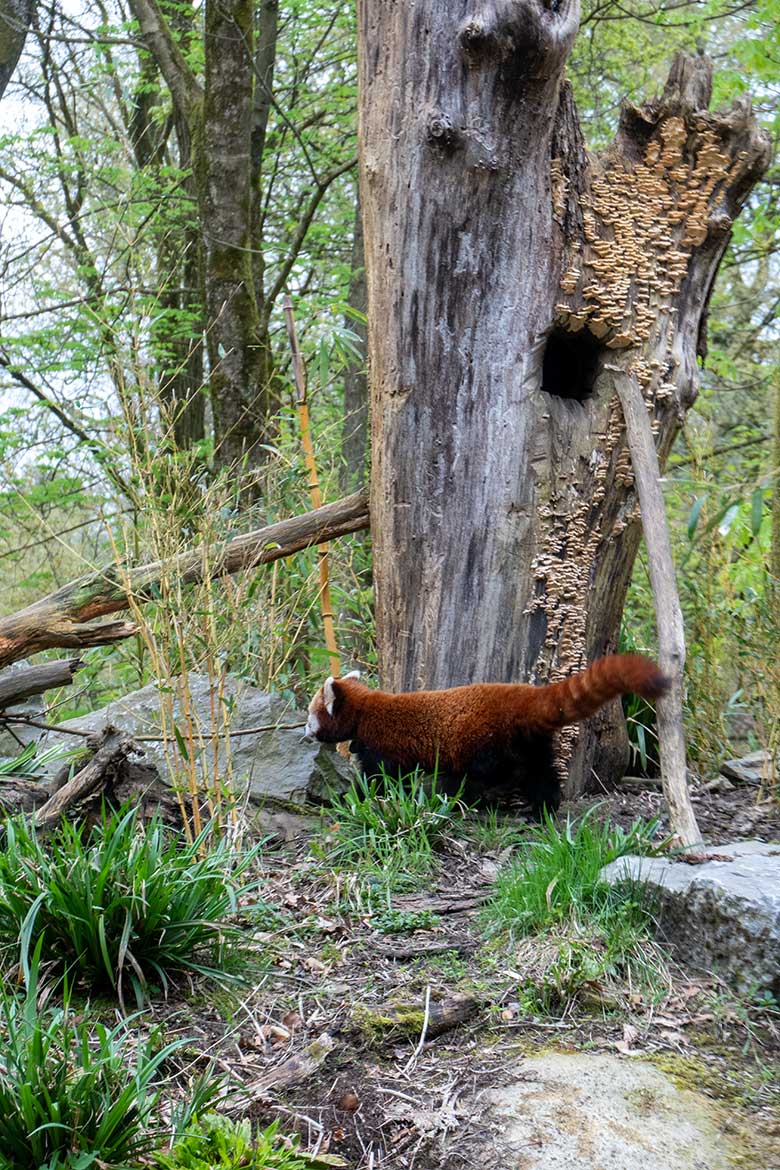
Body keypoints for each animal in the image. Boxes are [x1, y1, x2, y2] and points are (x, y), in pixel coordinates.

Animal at [304, 659, 664, 814]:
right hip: (532, 741)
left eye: (310, 716)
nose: (306, 733)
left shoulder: (383, 745)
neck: (365, 710)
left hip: (486, 741)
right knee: (542, 774)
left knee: (494, 772)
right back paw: (542, 809)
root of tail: (524, 698)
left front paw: (357, 797)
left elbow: (380, 777)